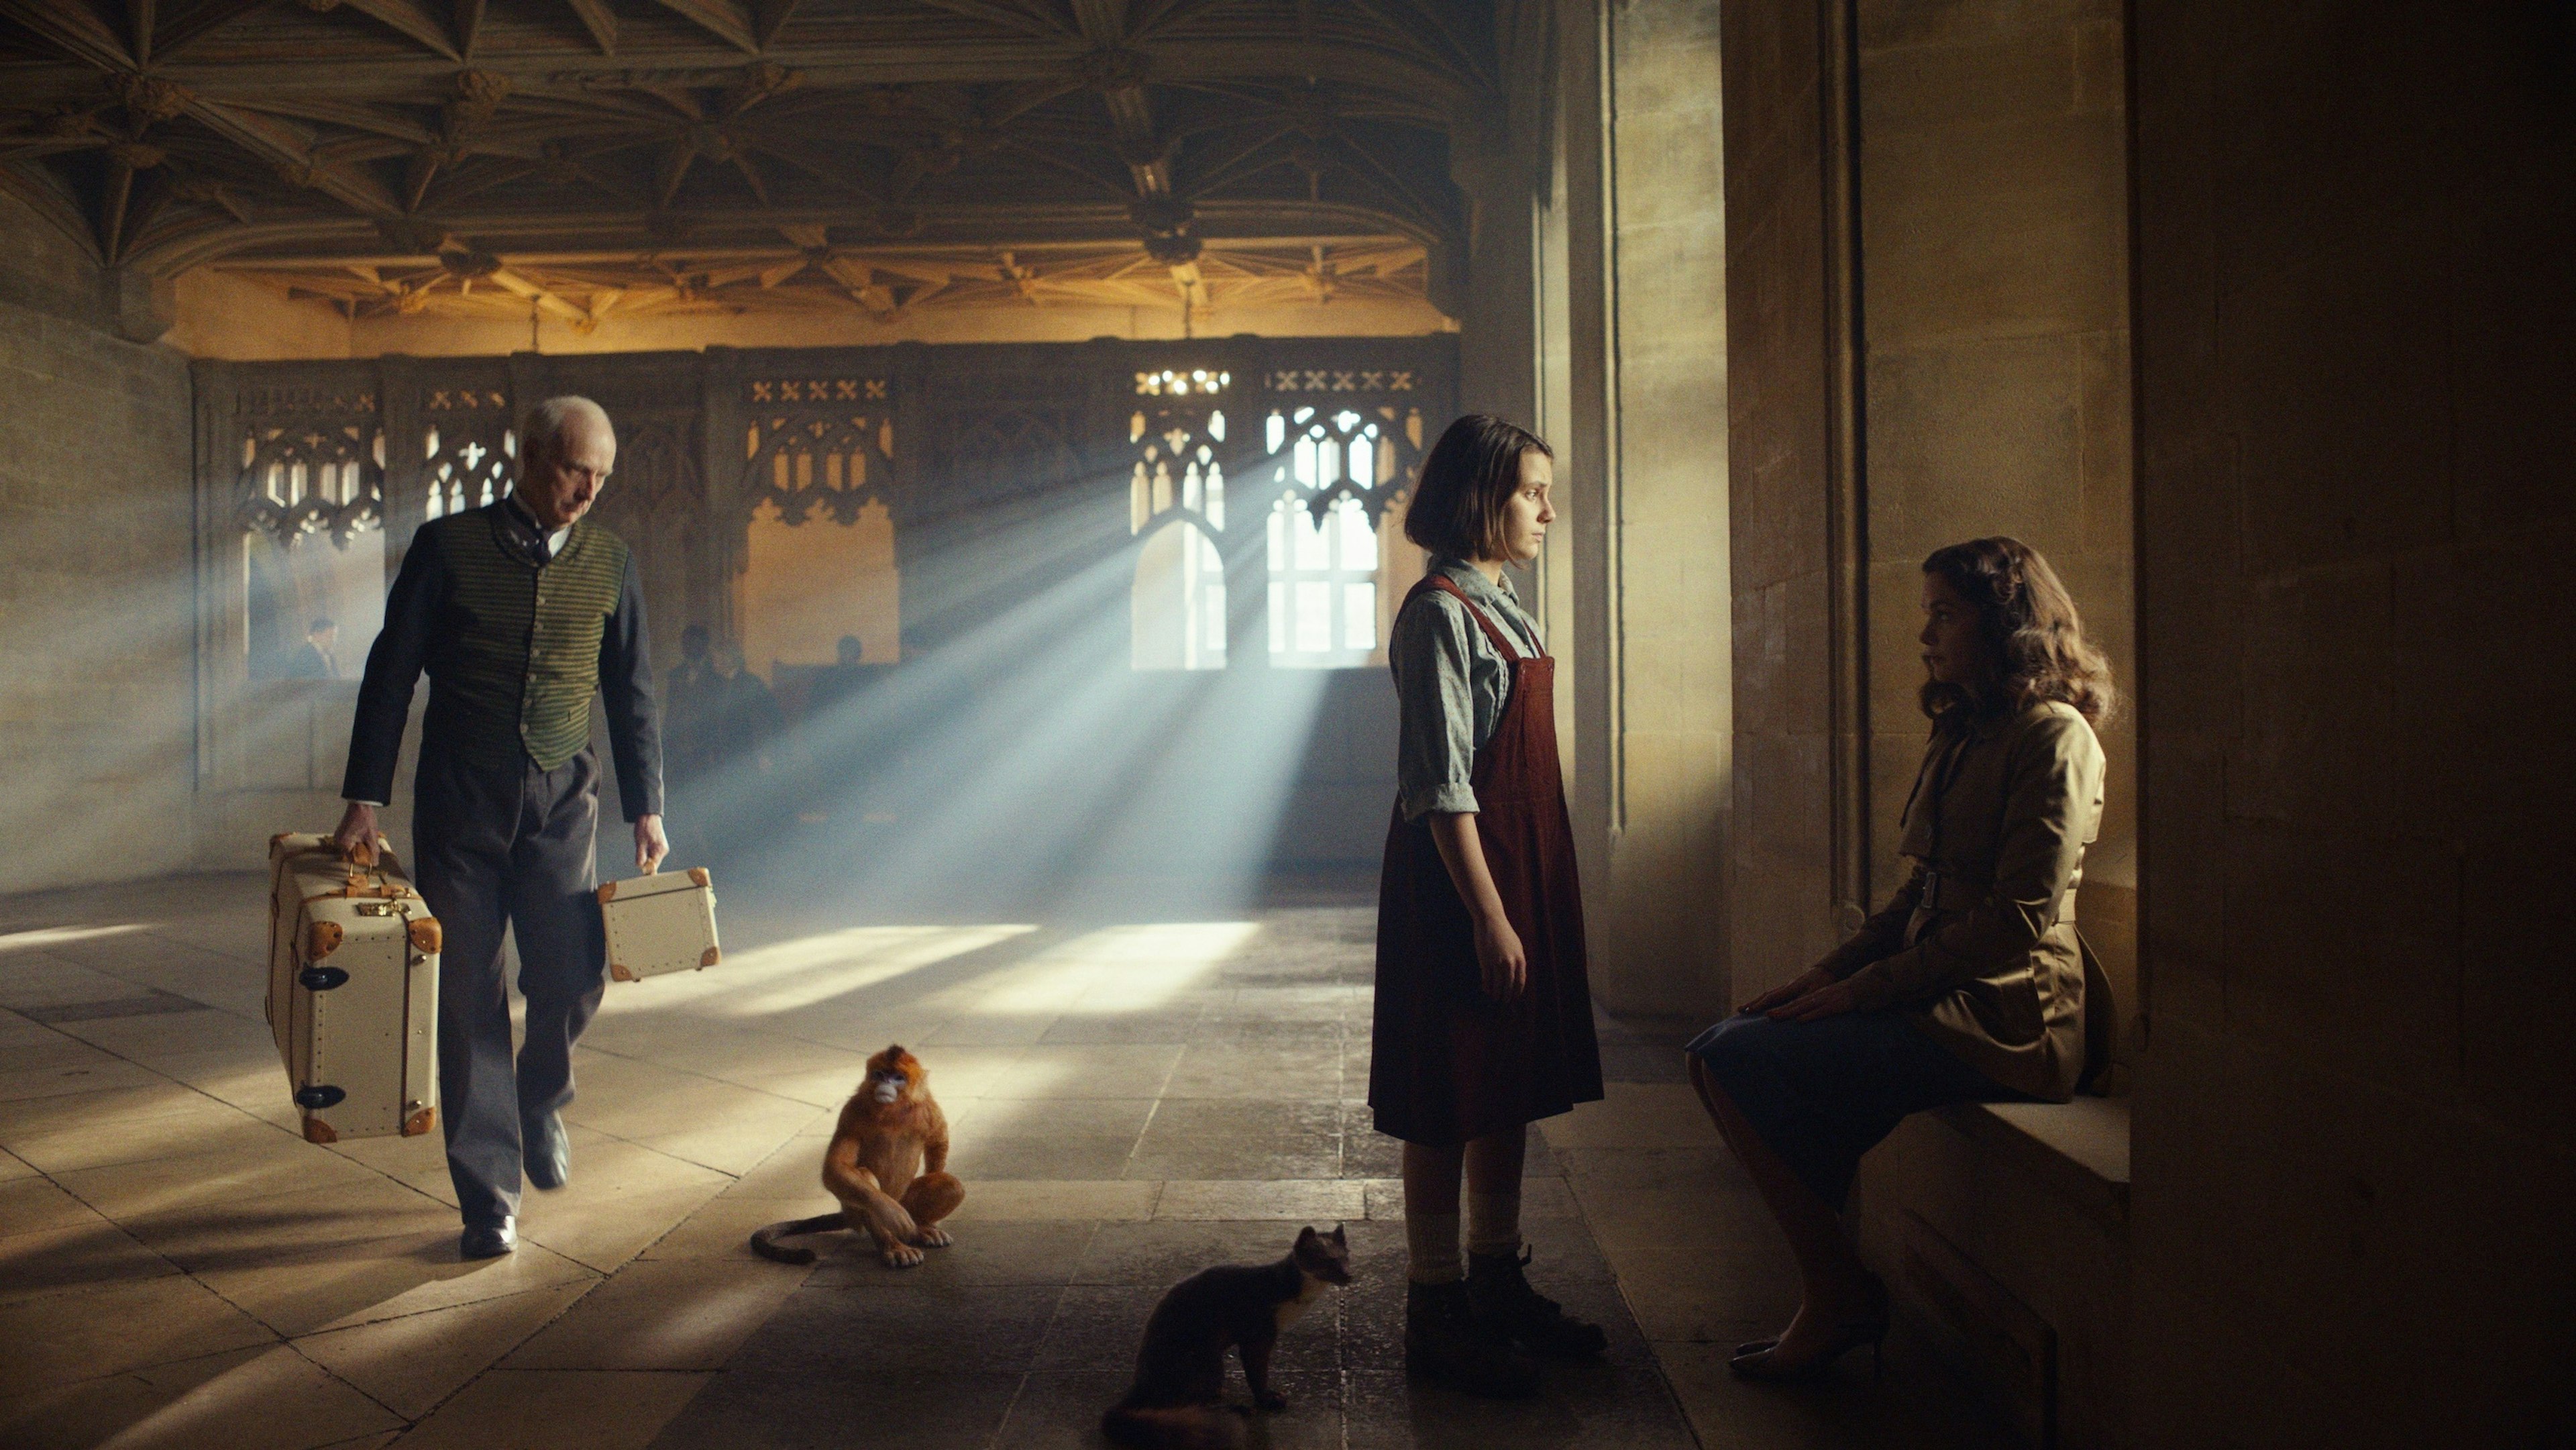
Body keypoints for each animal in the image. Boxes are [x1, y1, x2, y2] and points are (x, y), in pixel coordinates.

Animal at [757, 1045, 968, 1272]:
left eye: (898, 1078)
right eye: (880, 1074)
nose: (886, 1084)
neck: (893, 1111)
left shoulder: (928, 1107)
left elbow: (938, 1140)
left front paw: (927, 1224)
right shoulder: (851, 1113)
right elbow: (836, 1168)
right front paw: (890, 1213)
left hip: (905, 1201)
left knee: (952, 1185)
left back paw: (920, 1228)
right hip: (853, 1209)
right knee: (864, 1179)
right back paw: (892, 1245)